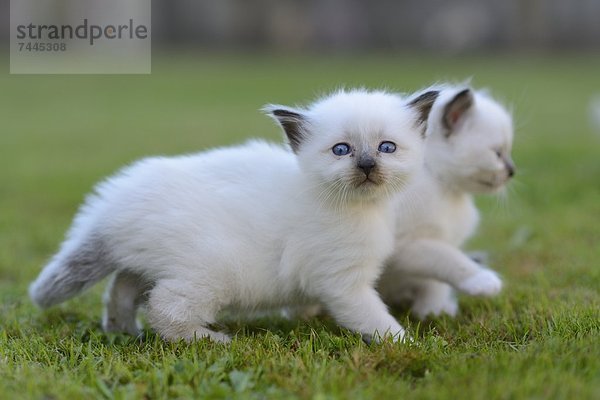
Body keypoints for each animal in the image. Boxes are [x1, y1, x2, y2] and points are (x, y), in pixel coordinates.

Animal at [29, 89, 432, 342]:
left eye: (386, 148)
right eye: (341, 150)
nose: (366, 165)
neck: (364, 209)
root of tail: (112, 204)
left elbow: (307, 301)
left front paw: (306, 316)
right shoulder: (344, 282)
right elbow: (373, 317)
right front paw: (405, 343)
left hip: (148, 262)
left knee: (122, 290)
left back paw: (123, 330)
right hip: (210, 271)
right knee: (163, 308)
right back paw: (211, 339)